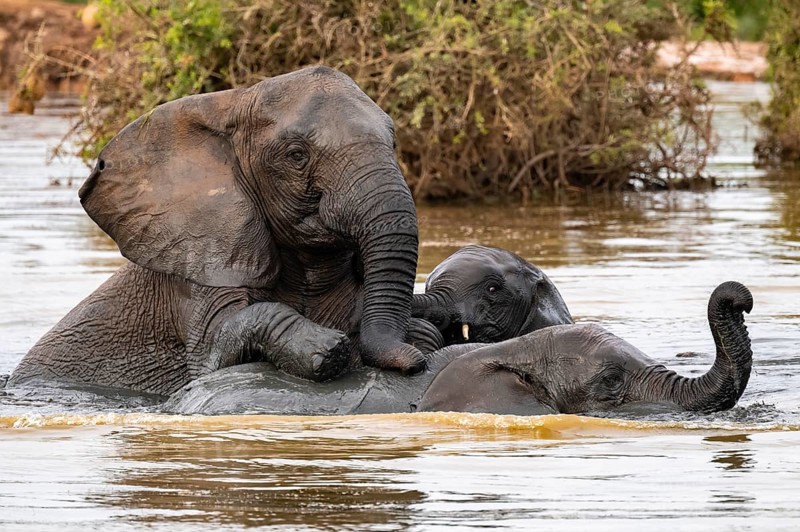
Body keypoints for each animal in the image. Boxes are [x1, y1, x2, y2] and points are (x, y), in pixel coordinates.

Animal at [9, 66, 439, 396]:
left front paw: (422, 334)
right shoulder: (197, 267)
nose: (414, 365)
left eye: (393, 141)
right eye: (296, 155)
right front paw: (328, 348)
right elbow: (211, 360)